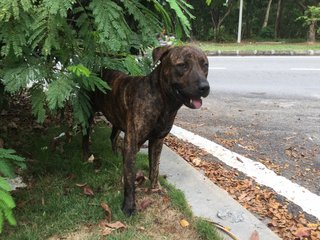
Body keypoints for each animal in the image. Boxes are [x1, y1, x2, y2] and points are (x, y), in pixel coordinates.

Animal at [83, 45, 210, 216]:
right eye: (182, 65)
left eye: (205, 65)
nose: (205, 87)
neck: (162, 100)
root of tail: (96, 71)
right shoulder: (132, 145)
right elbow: (130, 180)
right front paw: (129, 206)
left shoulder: (157, 141)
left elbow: (154, 169)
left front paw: (155, 189)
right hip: (87, 114)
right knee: (85, 135)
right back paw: (86, 154)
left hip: (117, 118)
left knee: (113, 136)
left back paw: (115, 153)